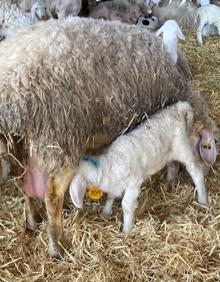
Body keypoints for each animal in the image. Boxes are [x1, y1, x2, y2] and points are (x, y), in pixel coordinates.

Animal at [69, 101, 217, 234]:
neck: (105, 166)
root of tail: (178, 107)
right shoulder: (115, 184)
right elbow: (111, 196)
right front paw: (105, 211)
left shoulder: (134, 183)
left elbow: (126, 205)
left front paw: (126, 230)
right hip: (167, 152)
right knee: (172, 165)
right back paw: (169, 181)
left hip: (183, 148)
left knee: (196, 173)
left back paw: (203, 200)